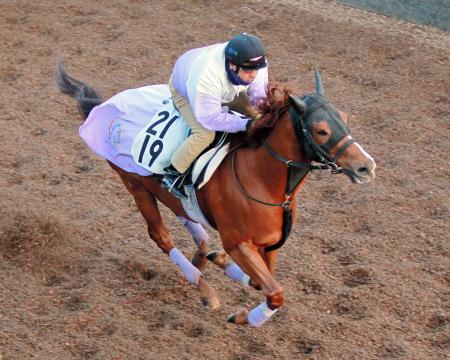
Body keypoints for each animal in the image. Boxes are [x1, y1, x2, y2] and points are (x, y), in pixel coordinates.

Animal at [54, 59, 374, 326]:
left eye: (345, 117)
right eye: (321, 131)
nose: (366, 166)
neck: (261, 180)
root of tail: (105, 105)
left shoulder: (269, 245)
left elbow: (263, 283)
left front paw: (224, 266)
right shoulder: (238, 243)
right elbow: (275, 293)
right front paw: (245, 317)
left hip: (164, 193)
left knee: (186, 216)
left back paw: (206, 254)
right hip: (134, 185)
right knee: (161, 236)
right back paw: (205, 289)